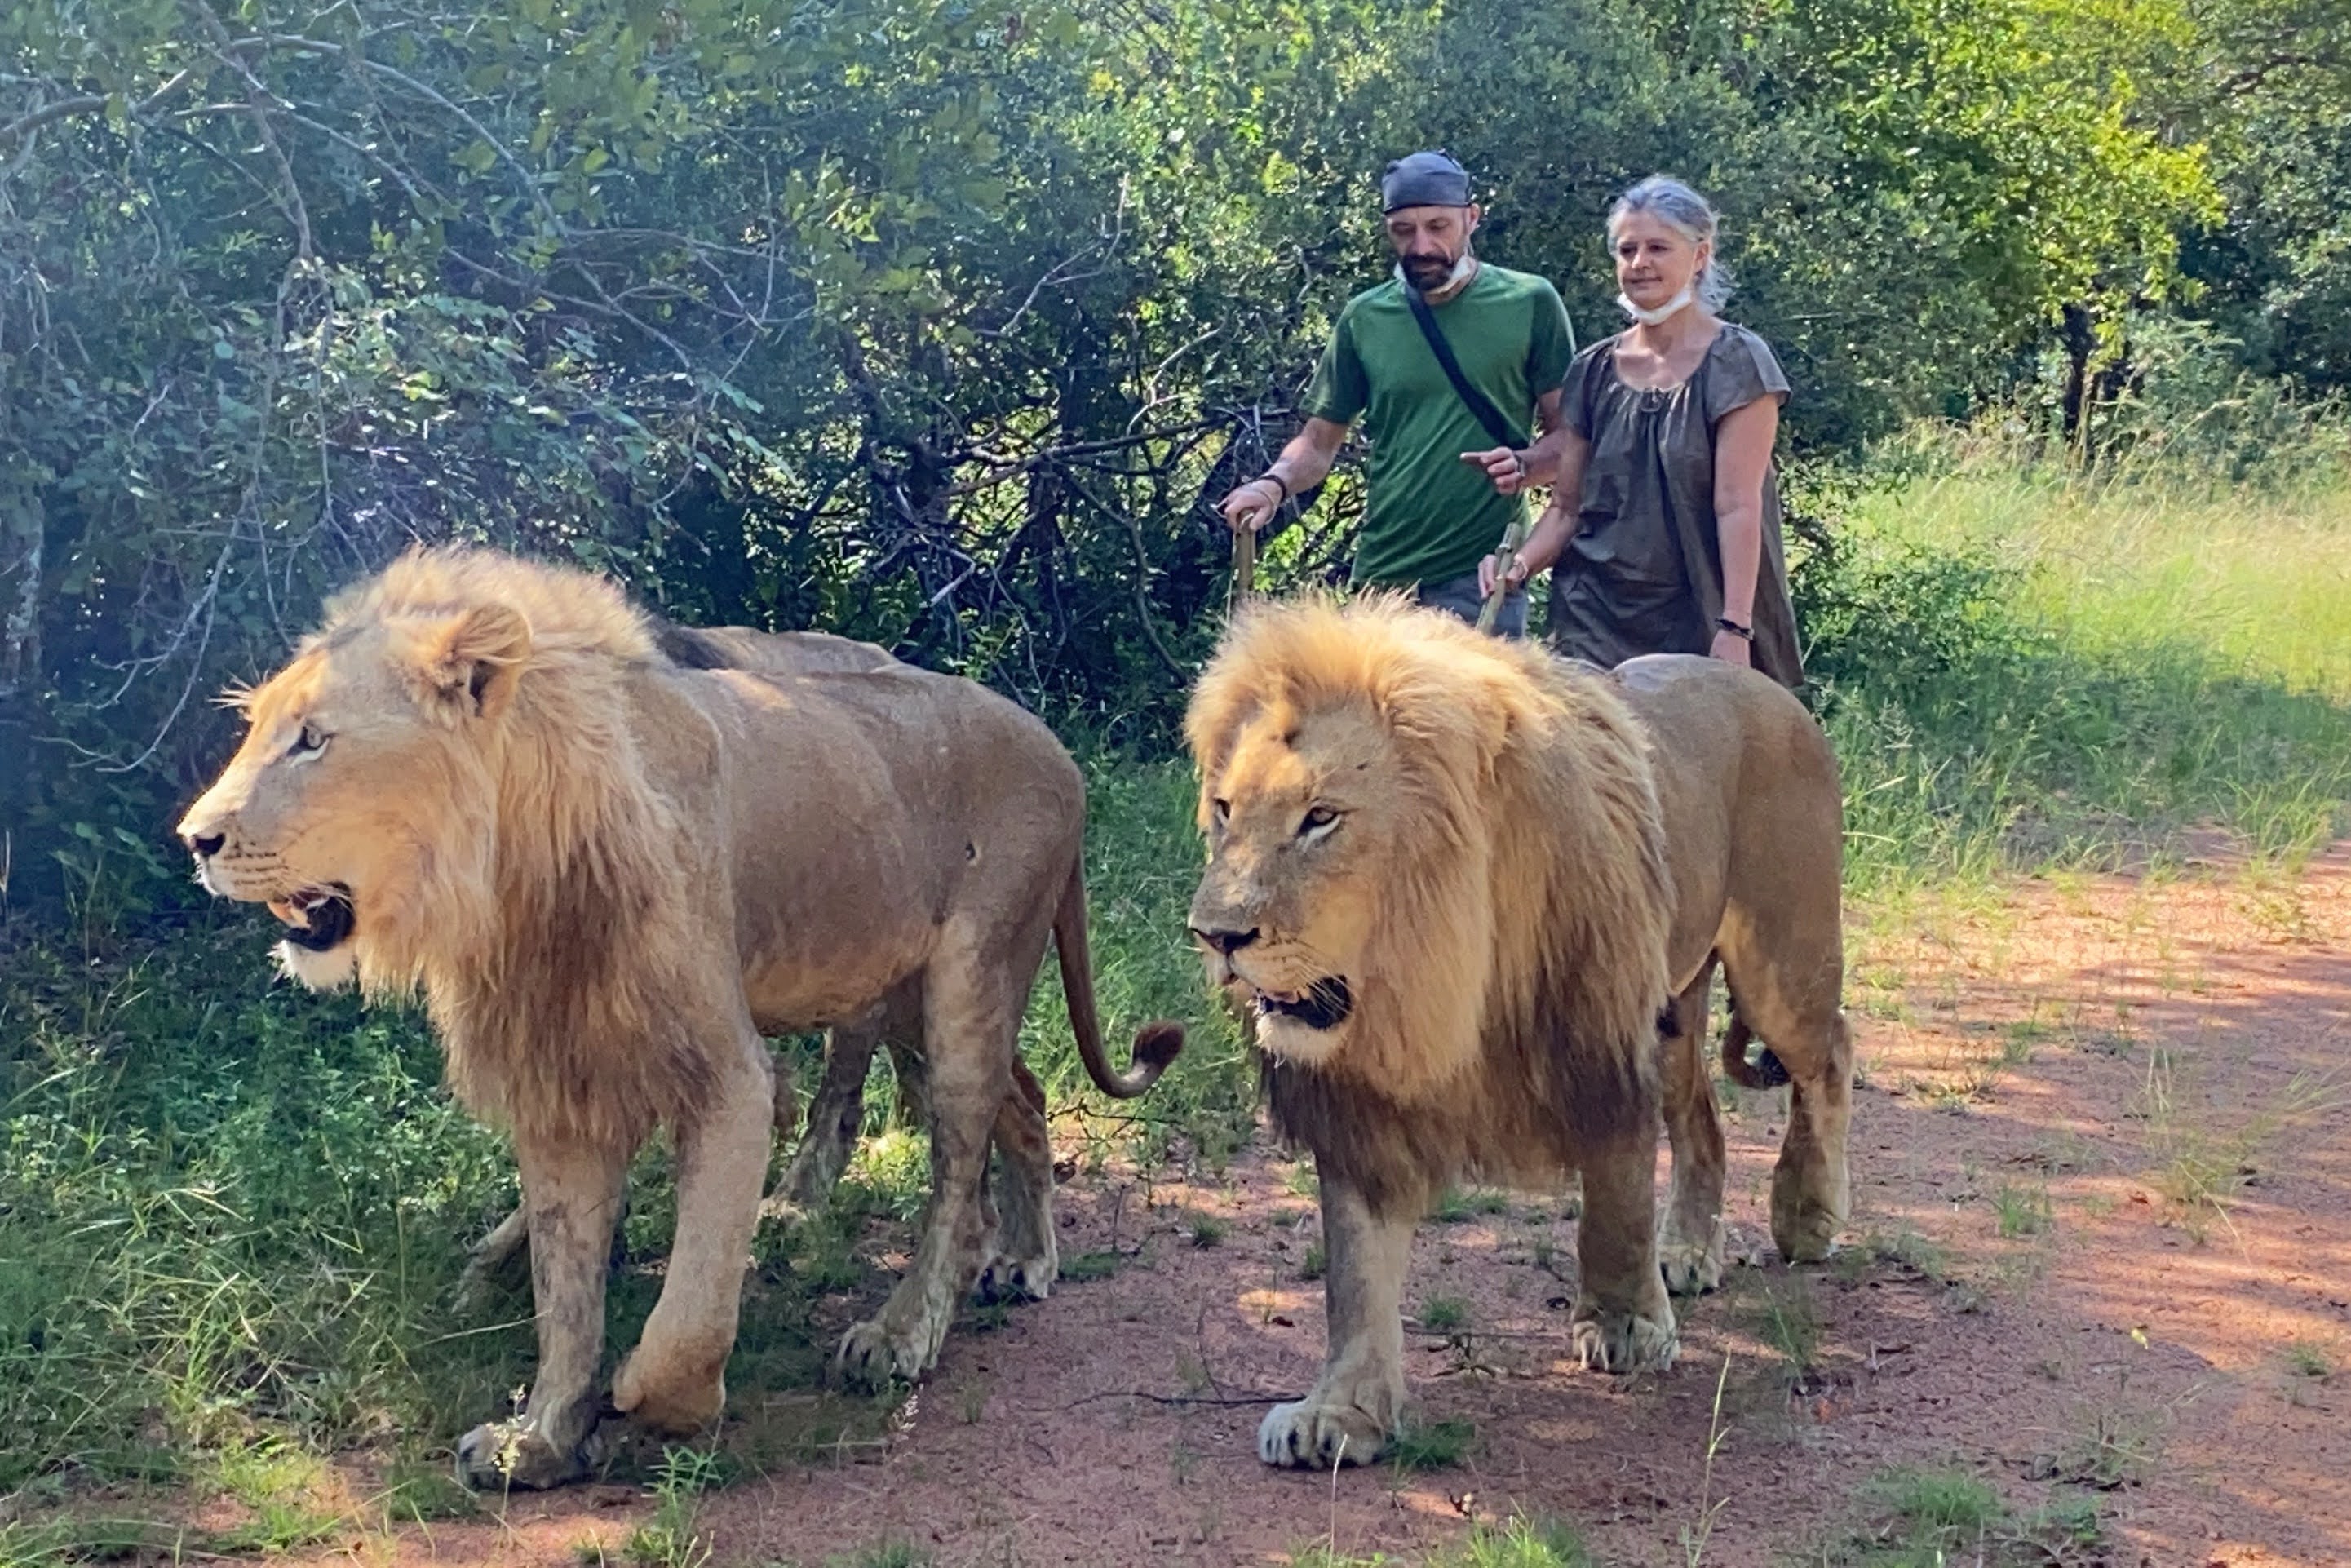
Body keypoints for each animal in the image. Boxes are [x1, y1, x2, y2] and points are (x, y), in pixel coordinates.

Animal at [176, 544, 1182, 1490]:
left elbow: (691, 1303)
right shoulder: (558, 1084)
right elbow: (566, 1289)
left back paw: (902, 1335)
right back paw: (1027, 1256)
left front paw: (646, 1398)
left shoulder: (728, 1077)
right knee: (1025, 1097)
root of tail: (1053, 744)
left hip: (971, 981)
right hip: (905, 995)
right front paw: (540, 1438)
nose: (193, 838)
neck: (515, 885)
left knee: (955, 1181)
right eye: (260, 729)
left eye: (313, 741)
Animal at [1181, 595, 1852, 1469]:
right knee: (1703, 1121)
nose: (1213, 936)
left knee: (1831, 1054)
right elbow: (1356, 1270)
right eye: (1226, 810)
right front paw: (1340, 1410)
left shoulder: (1599, 1032)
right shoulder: (1359, 1097)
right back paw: (1686, 1254)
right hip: (1676, 1009)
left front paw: (1627, 1325)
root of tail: (1770, 690)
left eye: (1320, 818)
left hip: (1782, 965)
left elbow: (1617, 1192)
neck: (1427, 976)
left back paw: (1807, 1216)